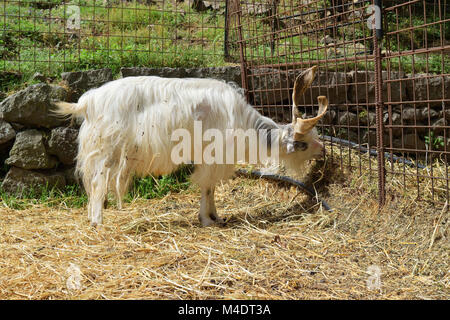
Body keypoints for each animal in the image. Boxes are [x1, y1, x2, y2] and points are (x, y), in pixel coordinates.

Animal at [56, 65, 326, 225]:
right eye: (302, 143)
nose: (323, 150)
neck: (243, 124)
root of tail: (88, 102)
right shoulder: (212, 155)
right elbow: (206, 186)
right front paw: (206, 219)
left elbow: (211, 188)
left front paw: (216, 216)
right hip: (105, 150)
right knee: (96, 183)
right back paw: (97, 221)